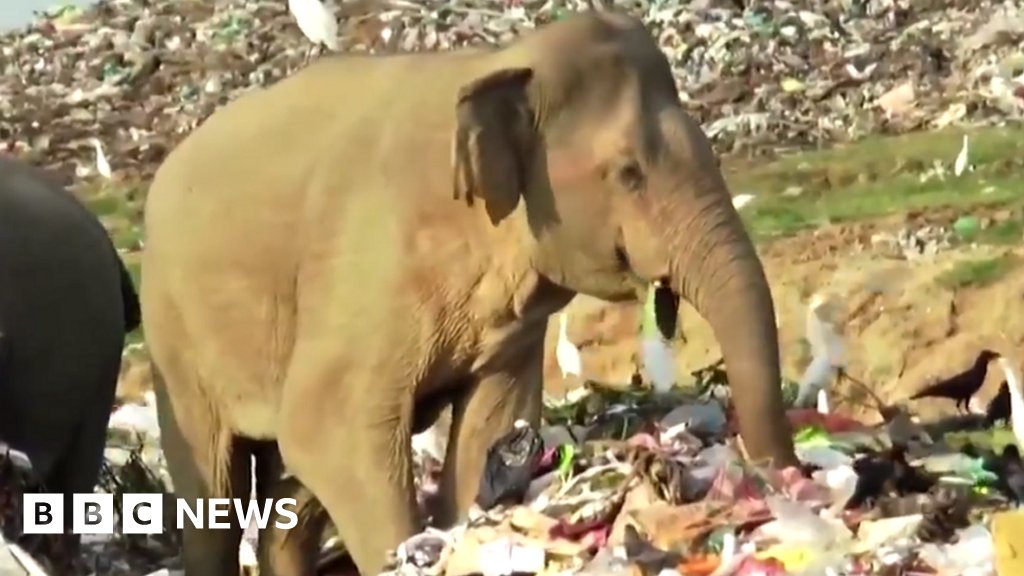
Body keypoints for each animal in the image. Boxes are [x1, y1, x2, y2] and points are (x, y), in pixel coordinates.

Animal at [141, 9, 797, 576]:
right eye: (629, 174)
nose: (781, 483)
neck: (497, 63)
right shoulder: (369, 270)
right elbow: (327, 430)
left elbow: (491, 424)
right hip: (174, 336)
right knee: (218, 488)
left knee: (290, 500)